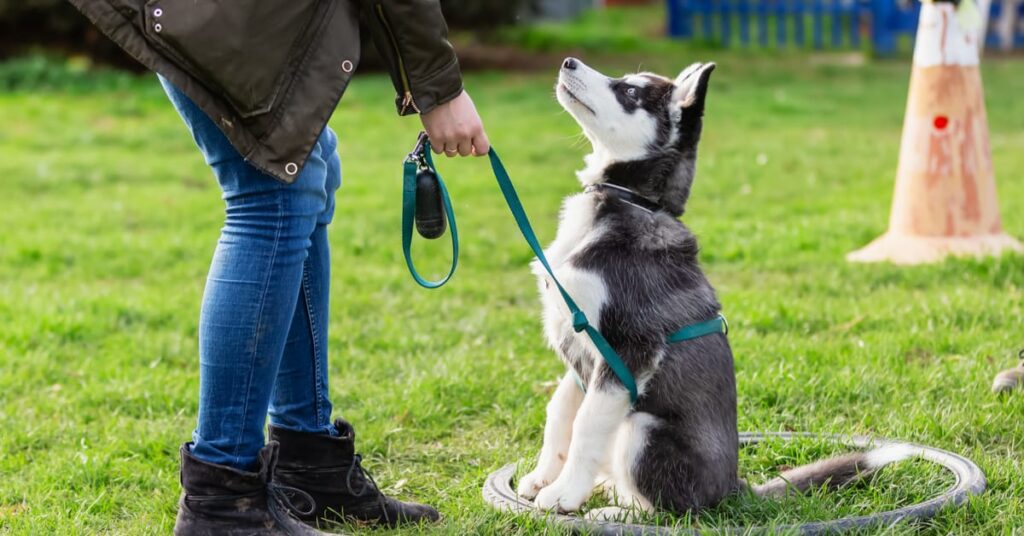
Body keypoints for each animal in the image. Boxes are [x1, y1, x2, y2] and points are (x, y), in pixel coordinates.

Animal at [520, 58, 913, 520]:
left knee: (671, 508)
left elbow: (586, 424)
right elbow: (560, 411)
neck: (631, 201)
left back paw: (616, 511)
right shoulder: (580, 348)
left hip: (643, 429)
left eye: (630, 92)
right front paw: (543, 477)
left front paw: (564, 494)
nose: (569, 61)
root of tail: (732, 488)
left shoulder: (629, 349)